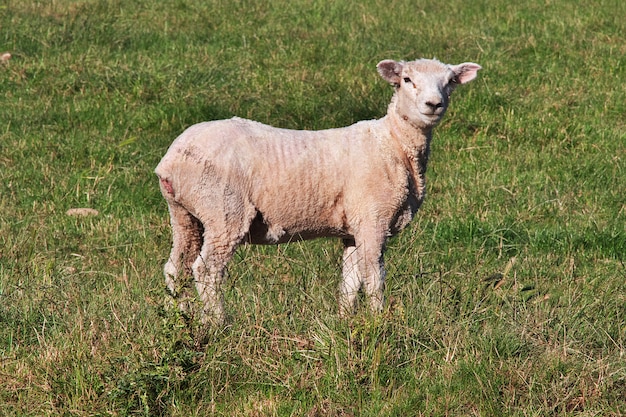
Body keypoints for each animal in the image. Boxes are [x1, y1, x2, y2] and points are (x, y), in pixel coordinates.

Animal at [154, 57, 480, 324]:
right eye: (407, 80)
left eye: (449, 82)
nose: (433, 105)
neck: (394, 142)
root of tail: (172, 158)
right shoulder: (373, 219)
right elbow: (374, 277)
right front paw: (379, 322)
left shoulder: (354, 228)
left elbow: (350, 282)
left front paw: (345, 322)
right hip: (224, 209)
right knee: (206, 270)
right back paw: (218, 323)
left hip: (185, 213)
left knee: (175, 268)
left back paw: (179, 320)